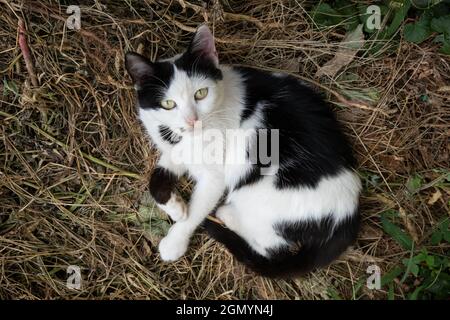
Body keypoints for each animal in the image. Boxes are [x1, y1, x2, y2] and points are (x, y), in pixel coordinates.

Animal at [125, 25, 362, 278]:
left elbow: (197, 209)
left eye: (201, 93)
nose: (192, 120)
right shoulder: (175, 151)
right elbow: (156, 178)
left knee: (270, 247)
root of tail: (348, 217)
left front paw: (175, 240)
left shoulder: (214, 177)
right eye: (168, 104)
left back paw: (226, 214)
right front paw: (176, 207)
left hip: (258, 187)